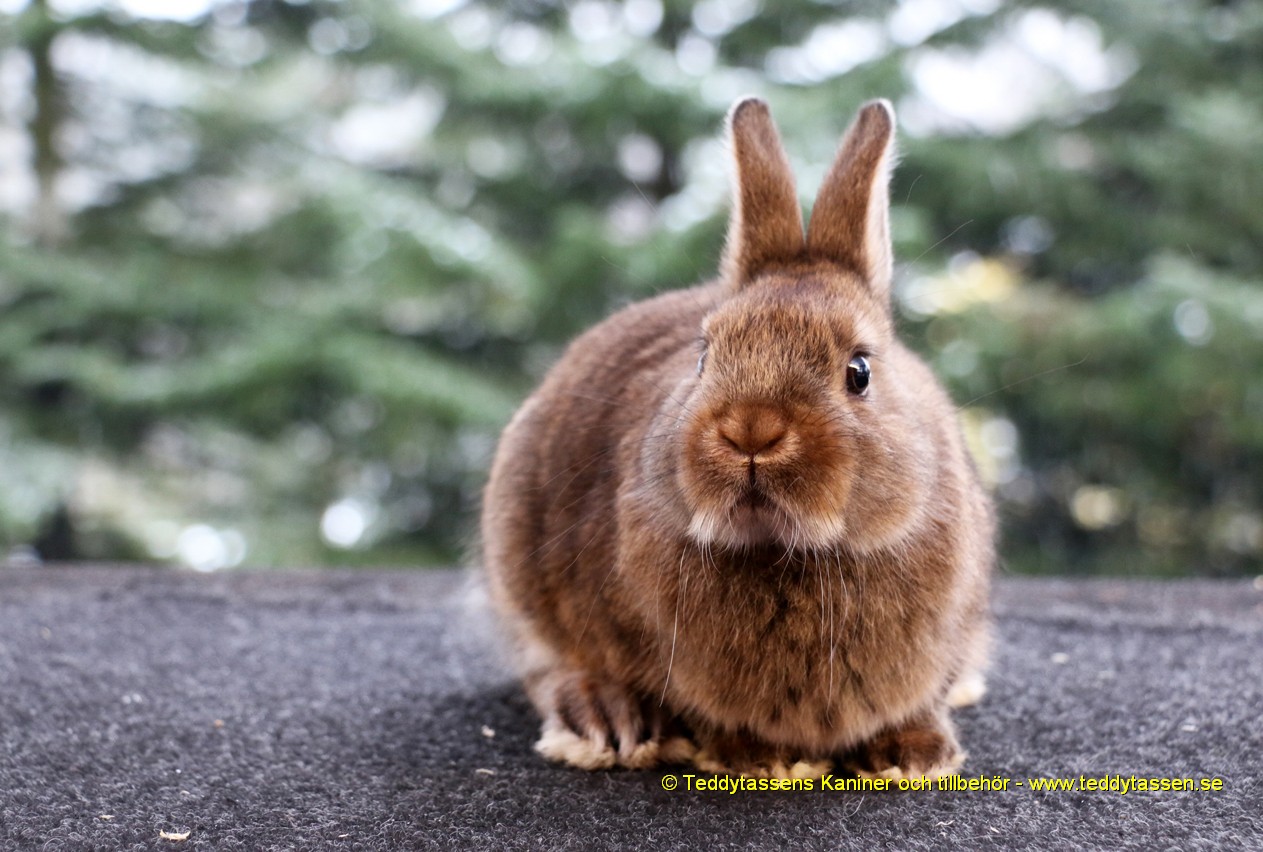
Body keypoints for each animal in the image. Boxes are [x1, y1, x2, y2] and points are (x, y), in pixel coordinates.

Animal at [477, 98, 990, 777]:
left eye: (859, 371)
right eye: (703, 356)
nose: (751, 430)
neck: (787, 554)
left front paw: (917, 755)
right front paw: (752, 757)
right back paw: (604, 719)